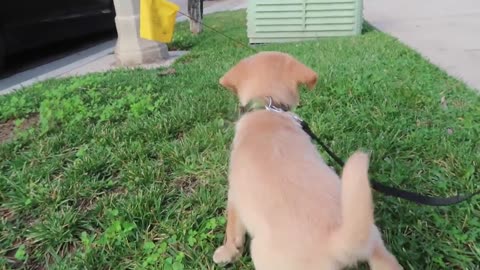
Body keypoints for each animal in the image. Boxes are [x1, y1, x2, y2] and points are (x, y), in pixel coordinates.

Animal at [214, 51, 402, 270]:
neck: (268, 107)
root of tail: (334, 242)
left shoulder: (234, 195)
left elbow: (232, 229)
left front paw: (227, 252)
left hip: (265, 256)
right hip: (371, 235)